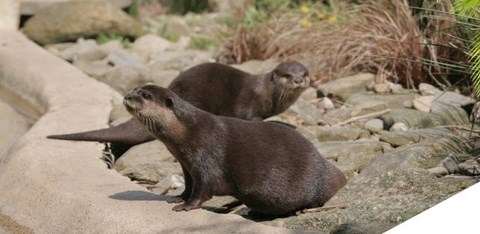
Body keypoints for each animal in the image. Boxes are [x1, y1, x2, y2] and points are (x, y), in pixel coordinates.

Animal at [47, 60, 310, 157]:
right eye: (287, 75)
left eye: (304, 72)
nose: (299, 80)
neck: (267, 93)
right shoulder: (250, 108)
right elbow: (254, 120)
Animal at [122, 84, 344, 216]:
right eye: (134, 89)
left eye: (145, 95)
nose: (127, 96)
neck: (189, 132)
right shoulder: (186, 165)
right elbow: (189, 184)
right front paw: (179, 197)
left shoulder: (206, 157)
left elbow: (203, 187)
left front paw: (186, 206)